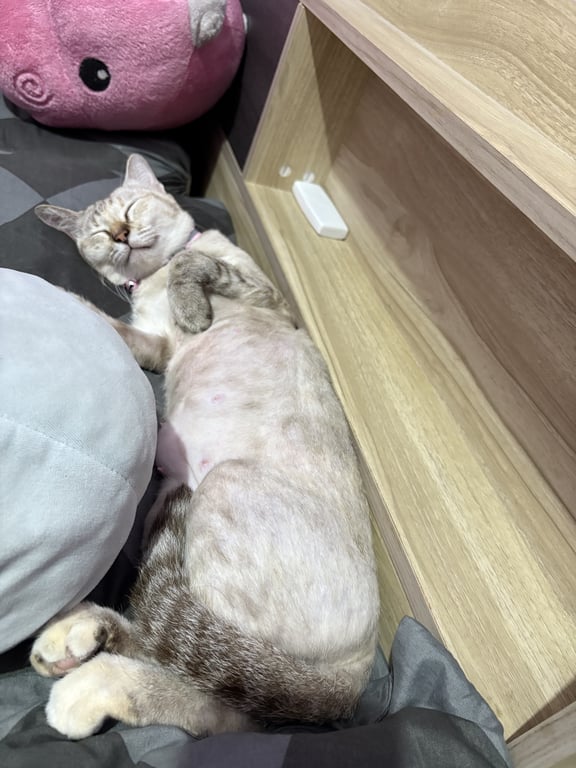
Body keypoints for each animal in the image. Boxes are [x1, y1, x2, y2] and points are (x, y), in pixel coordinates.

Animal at [31, 154, 380, 740]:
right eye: (100, 233)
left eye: (132, 208)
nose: (121, 234)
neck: (152, 280)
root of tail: (358, 677)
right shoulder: (154, 344)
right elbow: (113, 325)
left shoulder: (264, 293)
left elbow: (193, 261)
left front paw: (190, 305)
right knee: (201, 672)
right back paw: (76, 636)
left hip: (217, 486)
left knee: (213, 686)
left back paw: (85, 682)